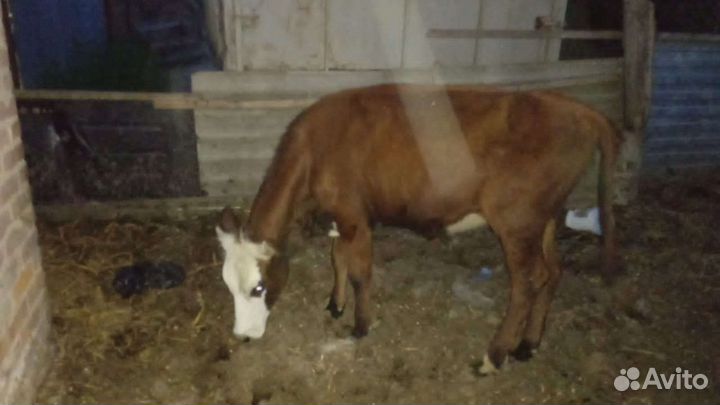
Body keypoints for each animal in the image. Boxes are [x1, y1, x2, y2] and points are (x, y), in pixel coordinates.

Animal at [216, 83, 621, 374]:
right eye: (227, 287)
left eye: (258, 288)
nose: (243, 336)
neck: (316, 148)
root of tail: (572, 107)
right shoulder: (341, 215)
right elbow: (337, 258)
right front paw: (335, 304)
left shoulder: (354, 215)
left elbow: (360, 272)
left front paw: (360, 325)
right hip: (546, 217)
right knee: (553, 271)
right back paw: (528, 345)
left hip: (516, 221)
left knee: (527, 282)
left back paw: (493, 356)